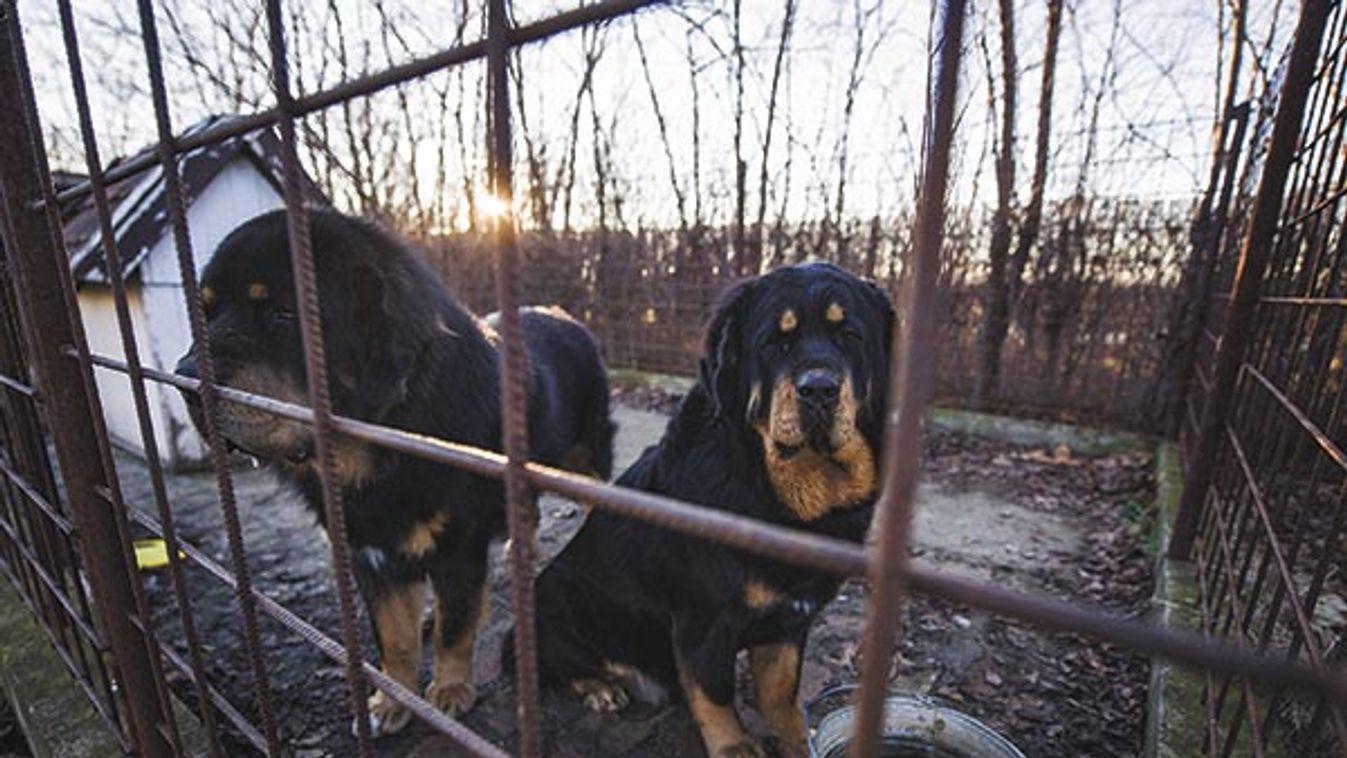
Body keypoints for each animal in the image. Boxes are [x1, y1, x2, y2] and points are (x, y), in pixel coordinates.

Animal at [171, 207, 614, 737]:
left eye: (281, 313)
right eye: (207, 313)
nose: (183, 380)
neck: (382, 450)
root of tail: (566, 316)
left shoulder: (456, 547)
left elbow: (454, 626)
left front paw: (449, 691)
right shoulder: (369, 552)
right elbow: (393, 637)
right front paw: (392, 701)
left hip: (583, 458)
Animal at [525, 262, 894, 758]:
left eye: (849, 335)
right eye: (775, 342)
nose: (819, 388)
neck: (780, 497)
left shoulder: (790, 620)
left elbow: (782, 693)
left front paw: (797, 741)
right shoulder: (704, 619)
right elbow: (715, 693)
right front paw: (735, 746)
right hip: (556, 596)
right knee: (552, 663)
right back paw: (600, 686)